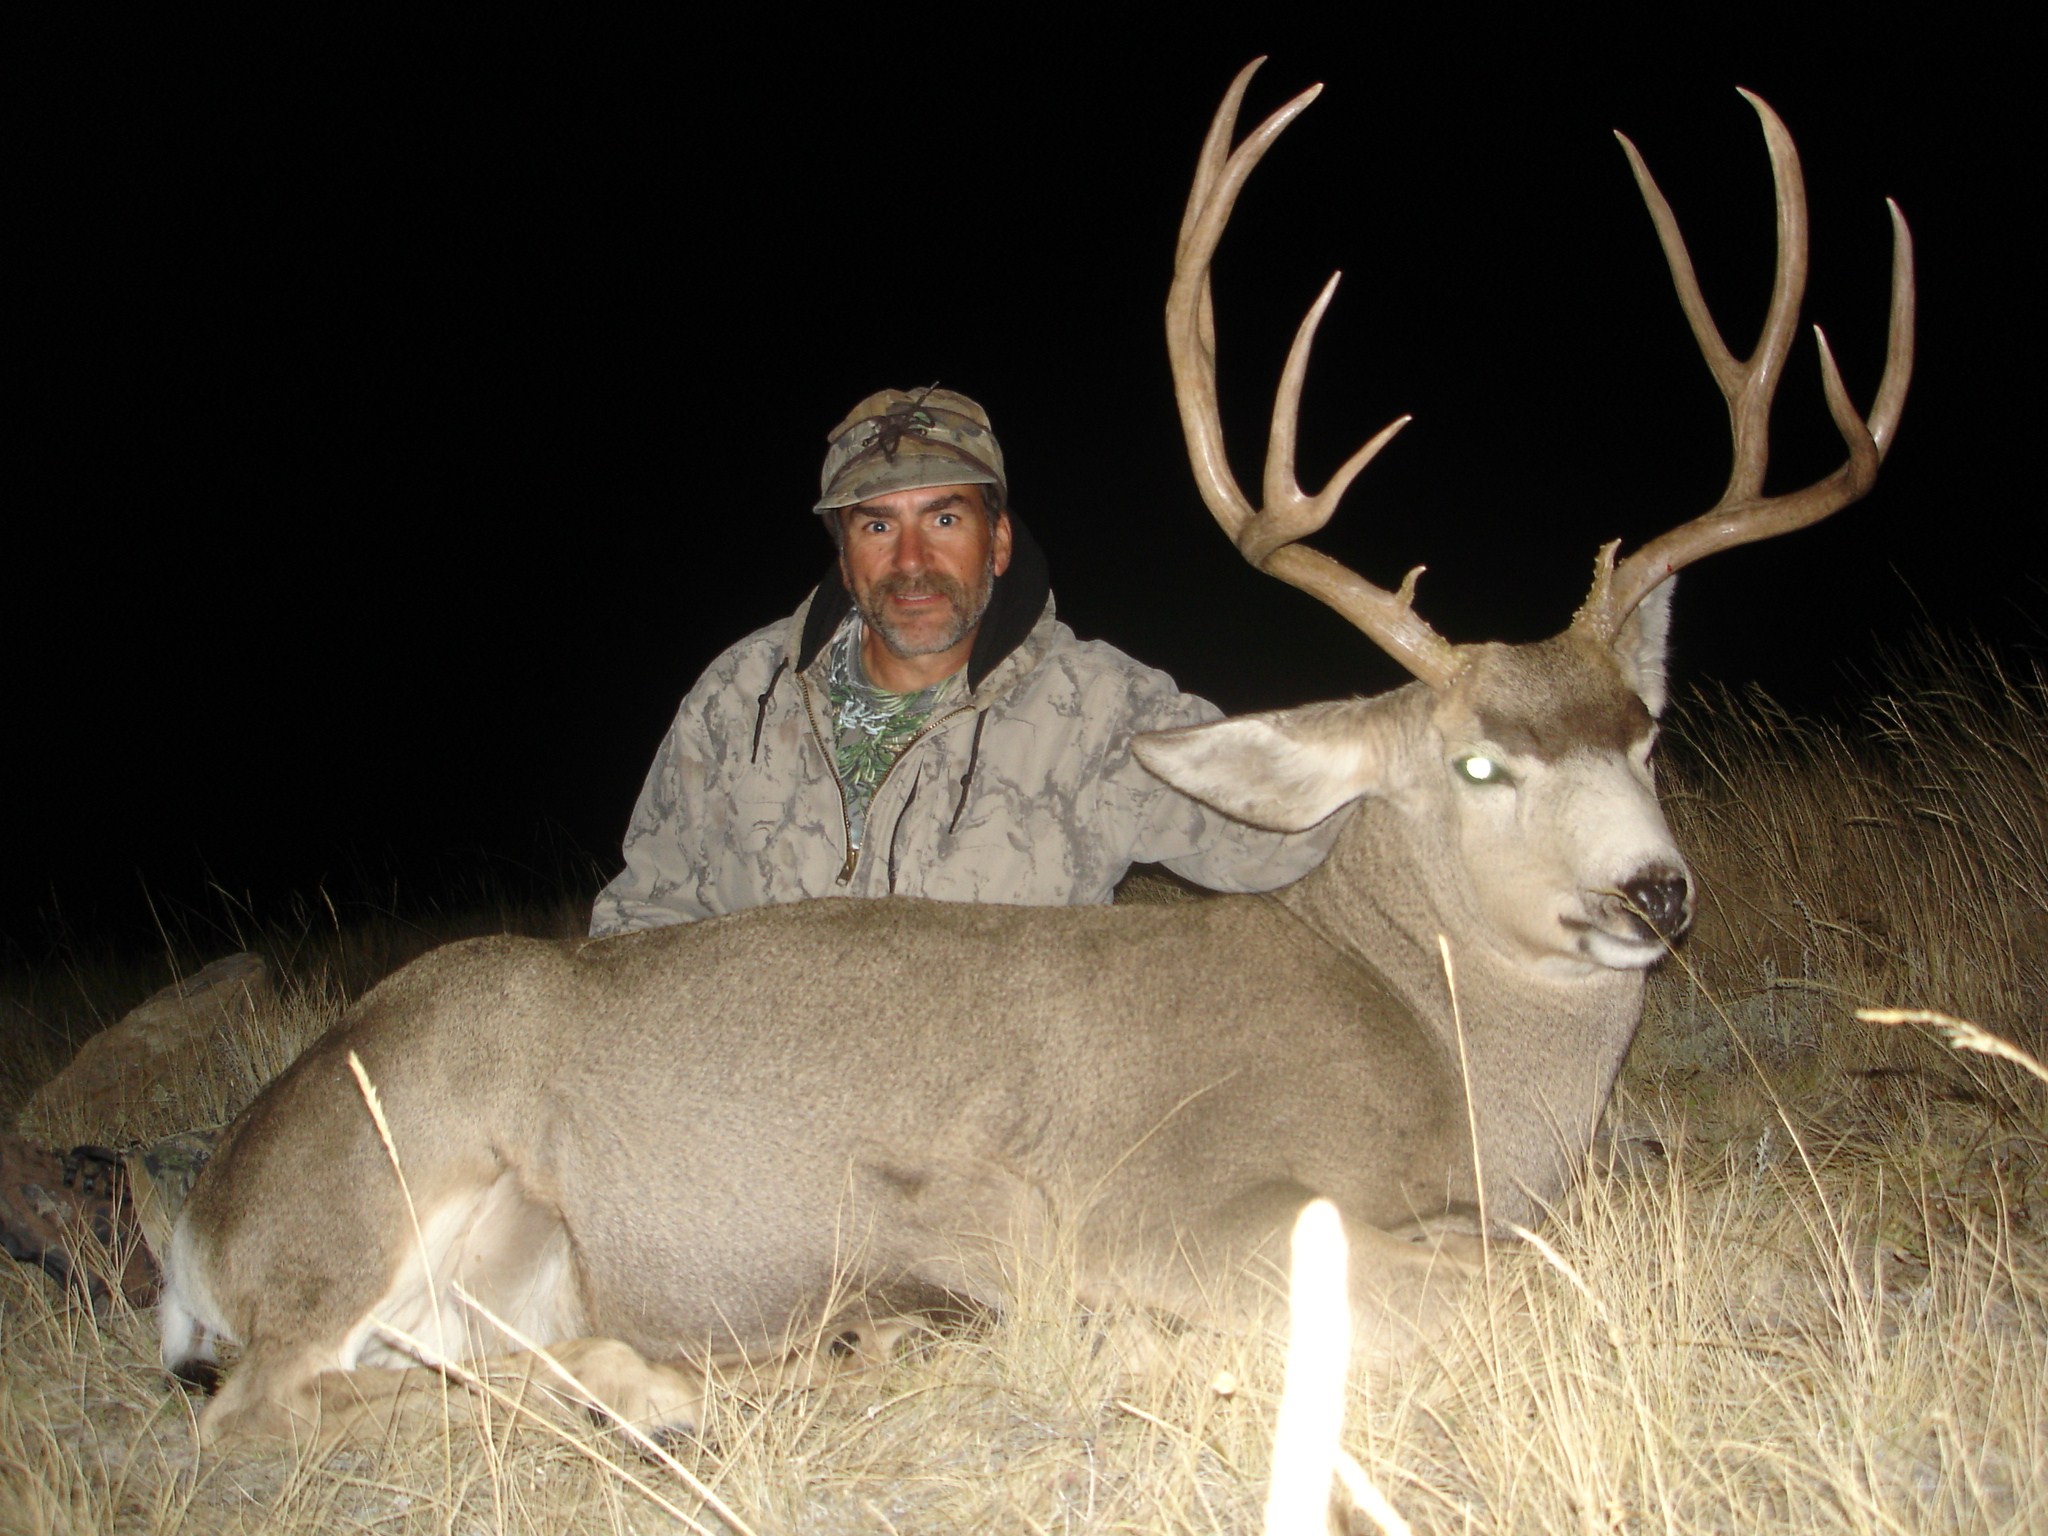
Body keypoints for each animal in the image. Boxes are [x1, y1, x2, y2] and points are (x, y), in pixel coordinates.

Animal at [158, 60, 1913, 1447]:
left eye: (1644, 730)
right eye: (1480, 764)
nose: (1654, 895)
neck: (1429, 1038)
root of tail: (203, 1212)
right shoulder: (1190, 1202)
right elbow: (1516, 1284)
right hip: (382, 1168)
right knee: (257, 1407)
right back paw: (658, 1389)